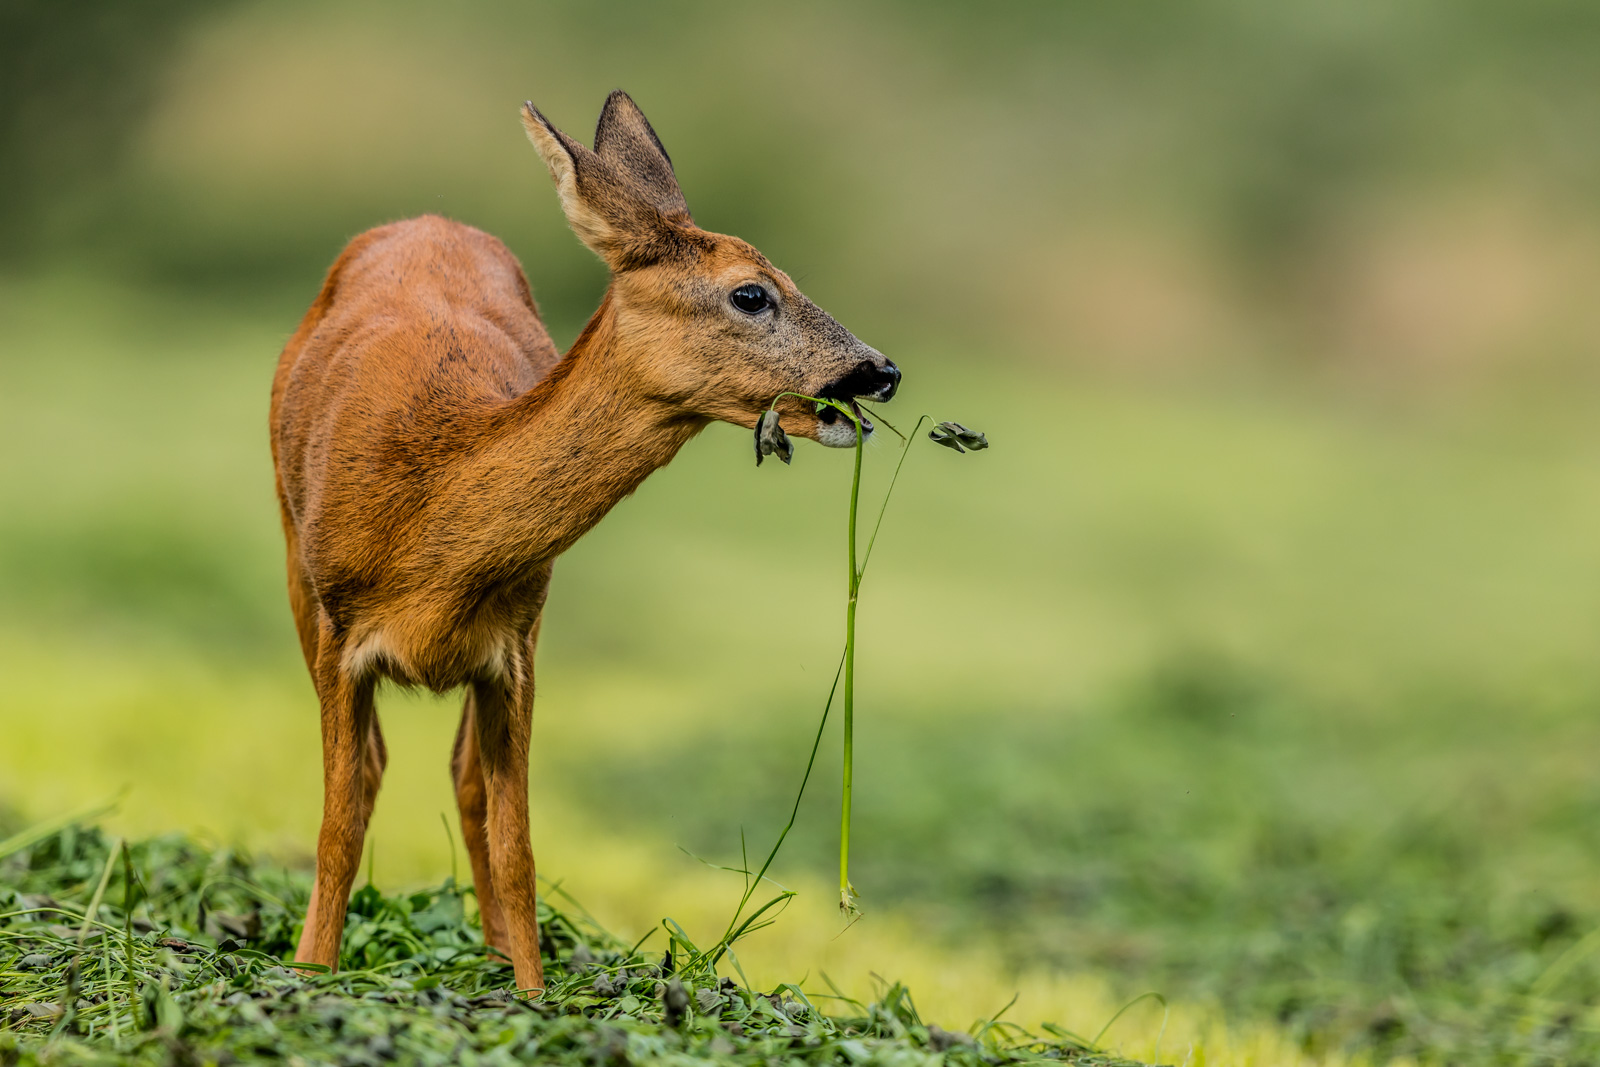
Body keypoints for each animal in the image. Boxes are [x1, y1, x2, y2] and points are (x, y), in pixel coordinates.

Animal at [268, 91, 908, 991]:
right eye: (752, 294)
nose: (880, 371)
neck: (426, 512)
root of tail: (427, 219)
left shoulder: (513, 646)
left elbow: (518, 845)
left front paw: (532, 993)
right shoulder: (338, 629)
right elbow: (339, 821)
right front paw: (309, 975)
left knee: (465, 780)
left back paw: (494, 951)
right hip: (293, 556)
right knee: (379, 769)